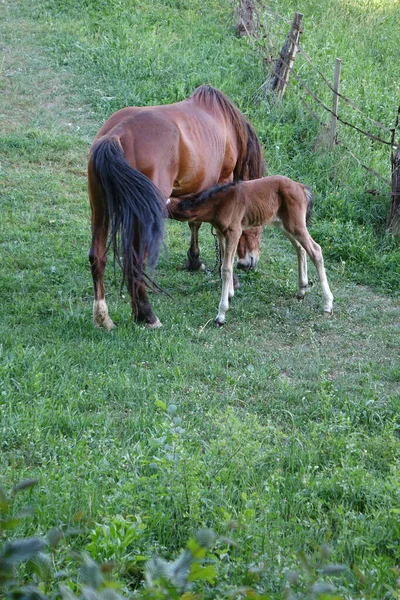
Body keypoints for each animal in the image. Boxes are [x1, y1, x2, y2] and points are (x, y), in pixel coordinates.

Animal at [86, 84, 266, 328]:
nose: (249, 262)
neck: (225, 123)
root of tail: (117, 134)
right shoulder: (223, 182)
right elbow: (218, 232)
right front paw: (229, 279)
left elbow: (195, 222)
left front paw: (194, 260)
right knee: (136, 261)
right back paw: (147, 315)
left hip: (100, 208)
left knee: (98, 257)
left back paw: (104, 318)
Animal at [167, 176, 332, 326]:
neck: (219, 203)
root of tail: (301, 187)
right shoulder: (221, 233)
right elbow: (225, 263)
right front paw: (230, 294)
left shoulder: (234, 231)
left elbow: (225, 268)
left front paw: (221, 315)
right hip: (283, 224)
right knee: (300, 248)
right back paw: (302, 290)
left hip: (296, 224)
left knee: (315, 250)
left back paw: (327, 304)